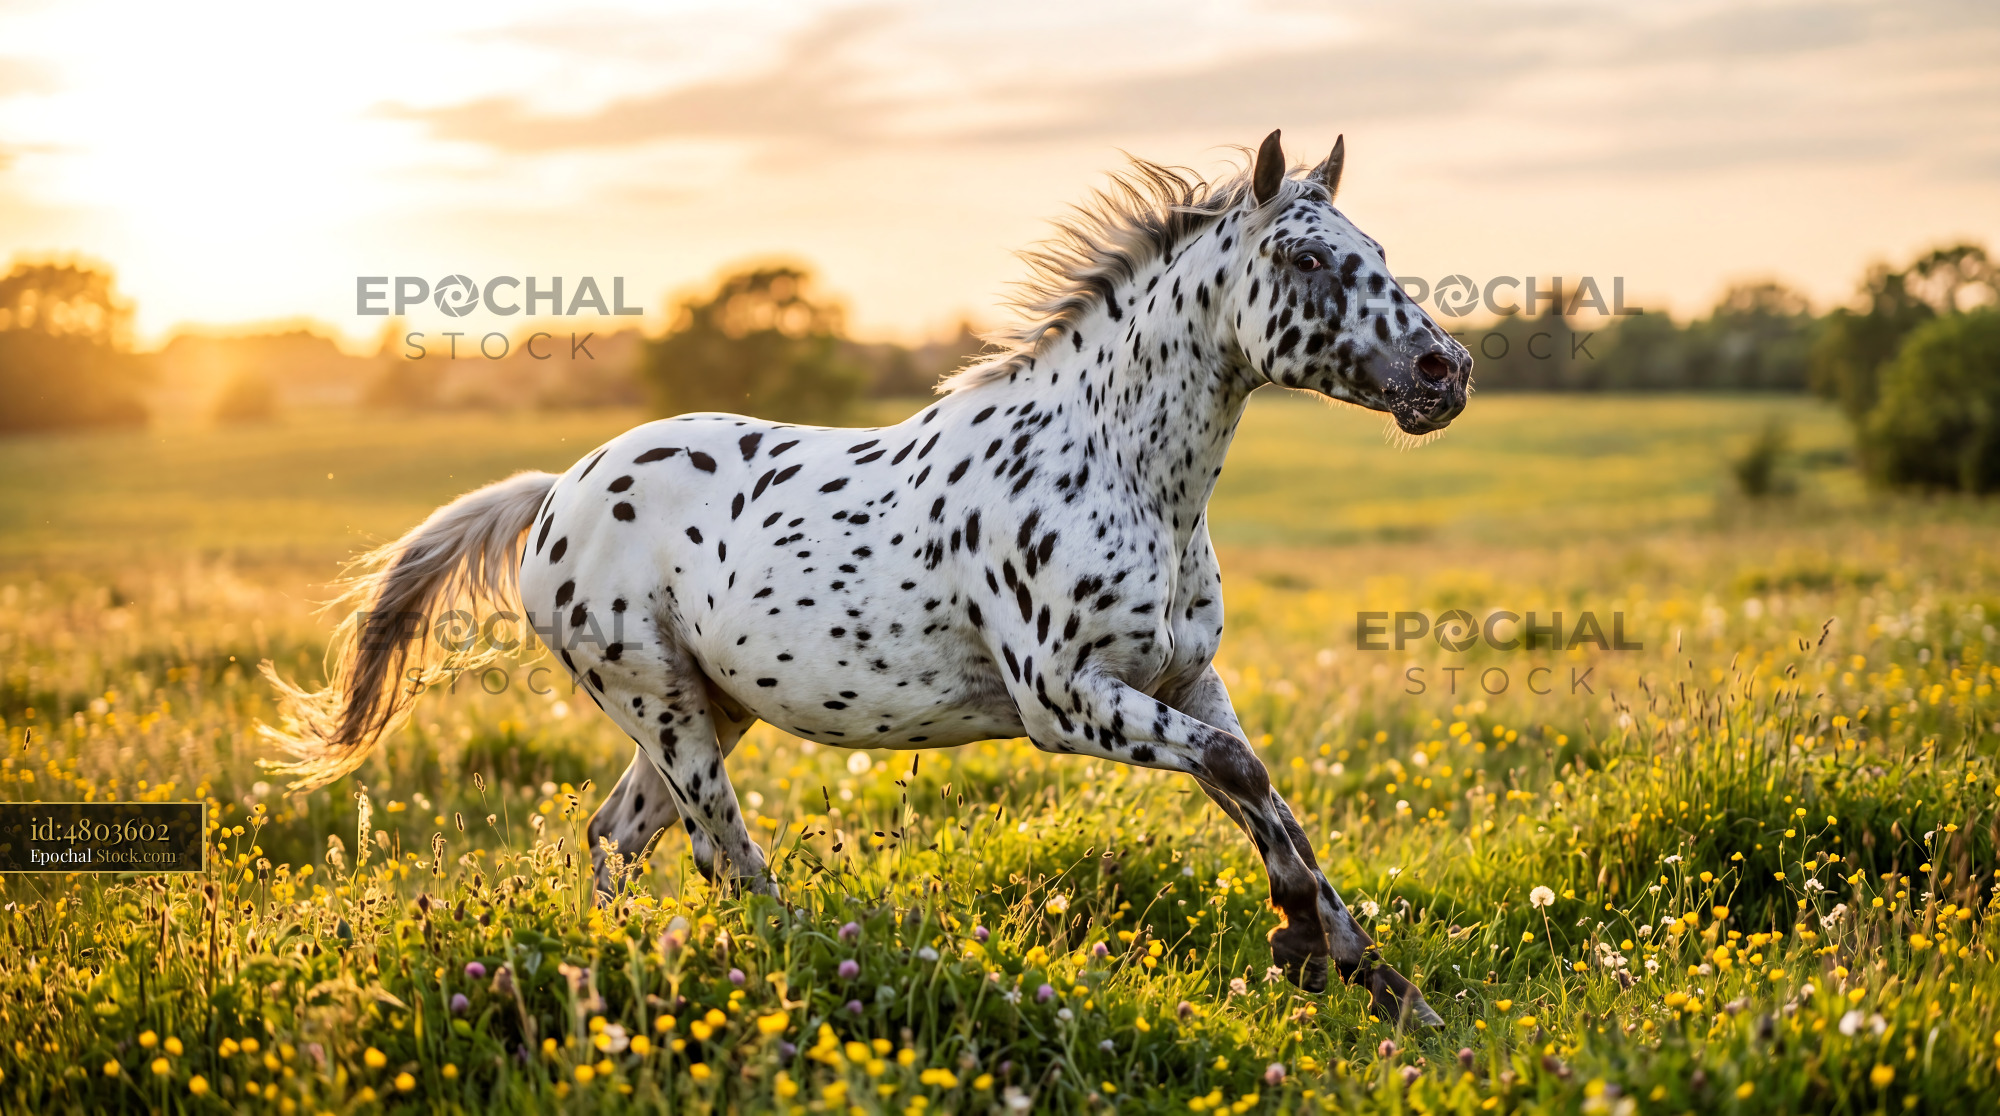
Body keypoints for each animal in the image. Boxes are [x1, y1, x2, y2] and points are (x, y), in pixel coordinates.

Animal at [260, 129, 1471, 1026]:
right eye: (1306, 260)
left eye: (1373, 246)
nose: (1444, 370)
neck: (1120, 472)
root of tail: (558, 489)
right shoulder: (1066, 702)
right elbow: (1238, 773)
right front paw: (1305, 944)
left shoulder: (1182, 682)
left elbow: (1261, 790)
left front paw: (1372, 978)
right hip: (662, 706)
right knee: (724, 856)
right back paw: (811, 972)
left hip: (707, 707)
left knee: (616, 838)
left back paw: (602, 973)